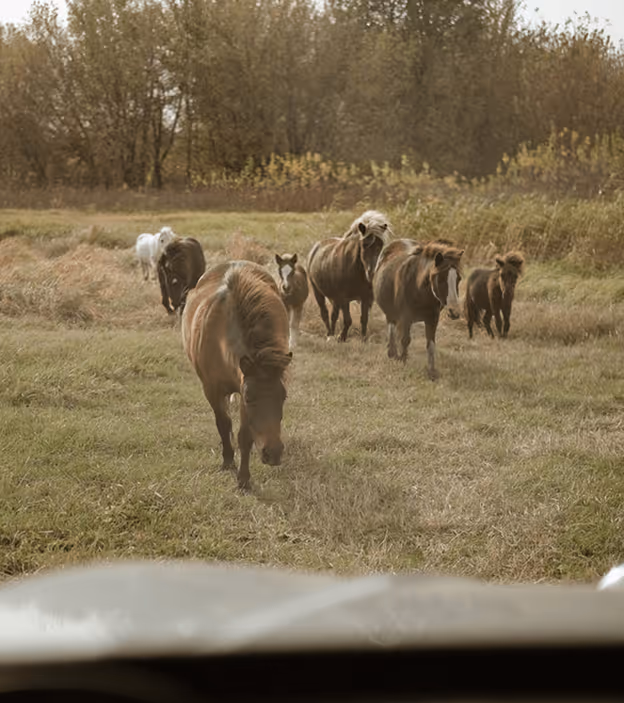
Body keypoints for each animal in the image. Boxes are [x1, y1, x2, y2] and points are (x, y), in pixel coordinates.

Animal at [181, 261, 292, 490]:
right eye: (250, 397)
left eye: (283, 396)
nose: (273, 453)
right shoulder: (214, 390)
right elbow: (223, 424)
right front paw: (228, 461)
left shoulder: (241, 386)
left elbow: (245, 436)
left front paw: (244, 479)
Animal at [307, 210, 391, 341]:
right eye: (364, 244)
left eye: (381, 245)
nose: (372, 273)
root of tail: (316, 247)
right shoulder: (344, 298)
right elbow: (348, 320)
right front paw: (341, 337)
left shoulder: (365, 298)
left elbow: (364, 319)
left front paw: (363, 339)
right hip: (318, 292)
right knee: (324, 313)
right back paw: (329, 334)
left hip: (334, 298)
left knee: (334, 315)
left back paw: (332, 333)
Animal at [373, 239, 464, 380]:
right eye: (441, 279)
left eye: (458, 279)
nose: (454, 312)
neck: (417, 287)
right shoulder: (405, 317)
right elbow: (405, 340)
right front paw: (403, 361)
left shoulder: (432, 319)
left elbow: (430, 344)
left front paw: (432, 372)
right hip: (390, 311)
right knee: (391, 324)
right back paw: (392, 352)